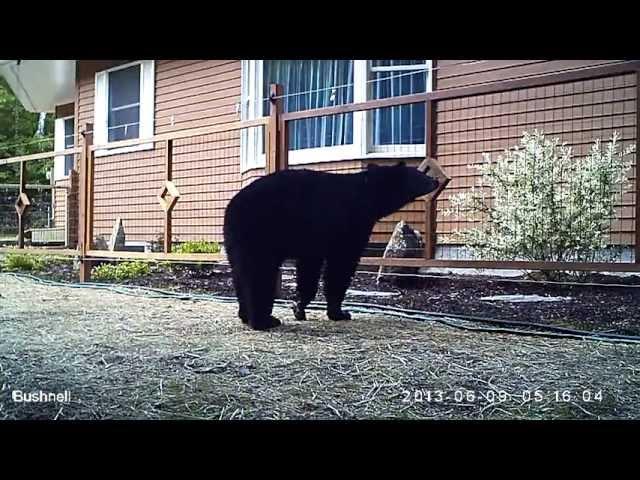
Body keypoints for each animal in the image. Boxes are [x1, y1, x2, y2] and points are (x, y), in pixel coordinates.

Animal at [222, 161, 438, 330]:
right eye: (421, 174)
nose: (436, 180)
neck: (367, 195)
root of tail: (232, 207)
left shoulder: (313, 242)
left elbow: (309, 270)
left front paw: (299, 306)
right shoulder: (347, 226)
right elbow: (340, 266)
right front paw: (339, 312)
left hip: (236, 242)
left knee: (240, 274)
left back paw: (245, 315)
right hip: (259, 235)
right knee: (259, 274)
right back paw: (263, 321)